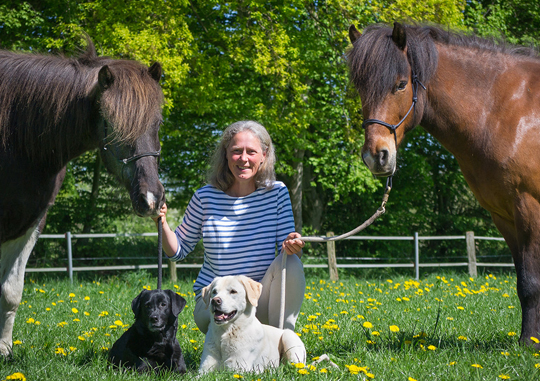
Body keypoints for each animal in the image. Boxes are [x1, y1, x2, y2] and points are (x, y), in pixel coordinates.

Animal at [0, 40, 166, 354]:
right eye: (111, 123)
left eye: (158, 122)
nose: (152, 199)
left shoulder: (30, 221)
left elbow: (10, 291)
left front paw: (4, 350)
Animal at [348, 22, 540, 346]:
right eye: (360, 88)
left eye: (401, 85)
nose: (376, 156)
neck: (509, 111)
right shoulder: (504, 216)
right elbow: (522, 281)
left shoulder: (530, 207)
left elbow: (531, 281)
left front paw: (528, 344)